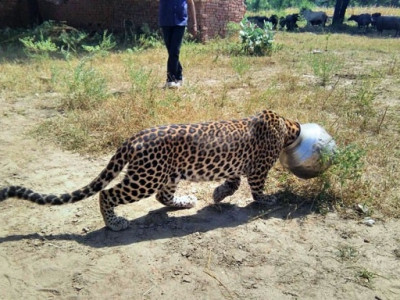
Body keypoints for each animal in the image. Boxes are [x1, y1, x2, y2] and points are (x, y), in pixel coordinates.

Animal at [0, 110, 300, 232]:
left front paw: (217, 194)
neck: (286, 124)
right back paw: (115, 223)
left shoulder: (236, 165)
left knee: (162, 197)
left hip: (167, 174)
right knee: (107, 194)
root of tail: (133, 138)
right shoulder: (258, 169)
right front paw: (268, 200)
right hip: (145, 177)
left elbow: (233, 182)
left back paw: (185, 201)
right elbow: (257, 189)